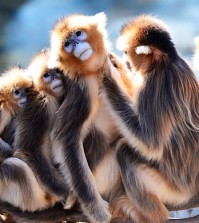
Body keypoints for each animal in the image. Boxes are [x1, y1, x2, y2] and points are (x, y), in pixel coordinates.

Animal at [48, 12, 139, 223]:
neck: (94, 70)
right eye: (67, 44)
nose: (74, 43)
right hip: (100, 177)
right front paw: (96, 210)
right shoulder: (84, 86)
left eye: (78, 34)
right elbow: (67, 138)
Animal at [101, 14, 199, 222]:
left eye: (126, 52)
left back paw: (150, 215)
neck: (164, 61)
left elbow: (149, 142)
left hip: (172, 191)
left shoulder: (154, 86)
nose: (125, 61)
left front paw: (106, 74)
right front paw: (114, 65)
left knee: (125, 151)